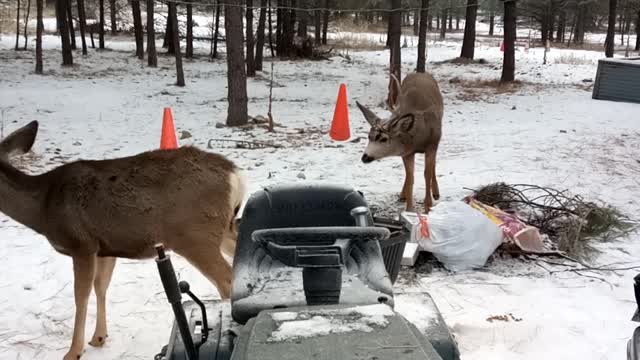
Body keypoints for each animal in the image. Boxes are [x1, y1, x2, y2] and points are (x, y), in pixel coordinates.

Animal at [0, 121, 245, 360]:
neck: (43, 208)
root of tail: (235, 174)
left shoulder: (82, 245)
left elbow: (81, 296)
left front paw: (73, 351)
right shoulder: (105, 248)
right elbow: (101, 286)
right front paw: (99, 337)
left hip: (195, 236)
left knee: (226, 280)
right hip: (224, 229)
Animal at [356, 72, 444, 214]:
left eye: (384, 139)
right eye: (369, 137)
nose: (365, 157)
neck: (418, 137)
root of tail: (420, 72)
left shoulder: (432, 145)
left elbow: (427, 174)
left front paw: (428, 207)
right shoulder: (407, 152)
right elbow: (410, 176)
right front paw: (409, 209)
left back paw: (436, 192)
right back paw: (403, 195)